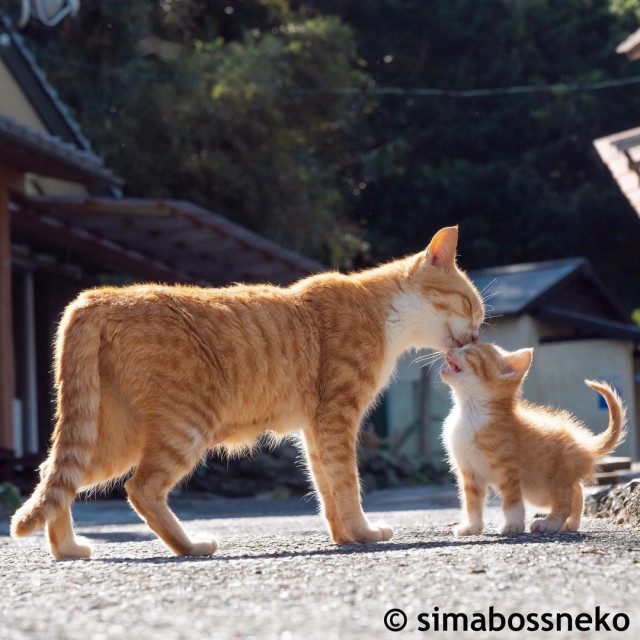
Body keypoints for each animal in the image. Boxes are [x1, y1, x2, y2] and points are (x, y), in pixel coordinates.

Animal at [11, 228, 484, 556]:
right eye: (470, 307)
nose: (478, 336)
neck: (380, 310)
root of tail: (98, 296)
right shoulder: (337, 418)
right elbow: (347, 483)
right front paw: (364, 533)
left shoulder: (316, 428)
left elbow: (327, 487)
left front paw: (344, 536)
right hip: (185, 427)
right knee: (140, 488)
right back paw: (190, 547)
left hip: (114, 435)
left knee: (55, 478)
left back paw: (68, 550)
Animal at [440, 344, 624, 536]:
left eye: (469, 350)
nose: (451, 348)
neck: (471, 412)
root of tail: (584, 446)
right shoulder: (469, 471)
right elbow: (472, 501)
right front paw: (472, 526)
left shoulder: (509, 469)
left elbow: (512, 501)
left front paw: (513, 525)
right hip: (541, 490)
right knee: (577, 491)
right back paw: (571, 523)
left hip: (555, 478)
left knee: (564, 501)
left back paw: (550, 523)